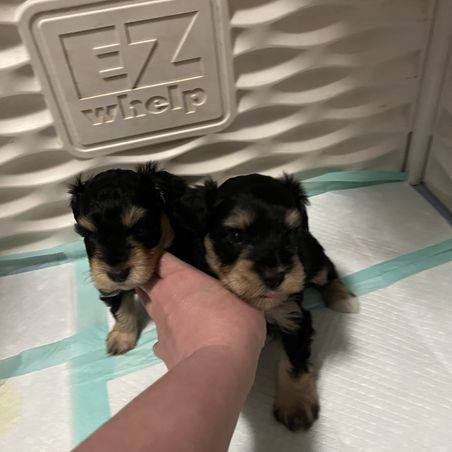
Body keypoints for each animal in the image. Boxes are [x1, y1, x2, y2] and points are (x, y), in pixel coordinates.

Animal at [68, 163, 199, 355]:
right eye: (89, 235)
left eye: (141, 228)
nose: (118, 274)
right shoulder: (111, 286)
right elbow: (122, 308)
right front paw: (122, 338)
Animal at [181, 173, 358, 431]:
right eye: (236, 236)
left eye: (290, 233)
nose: (275, 278)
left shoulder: (294, 316)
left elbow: (294, 360)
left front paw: (296, 406)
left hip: (311, 260)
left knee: (327, 269)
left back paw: (343, 299)